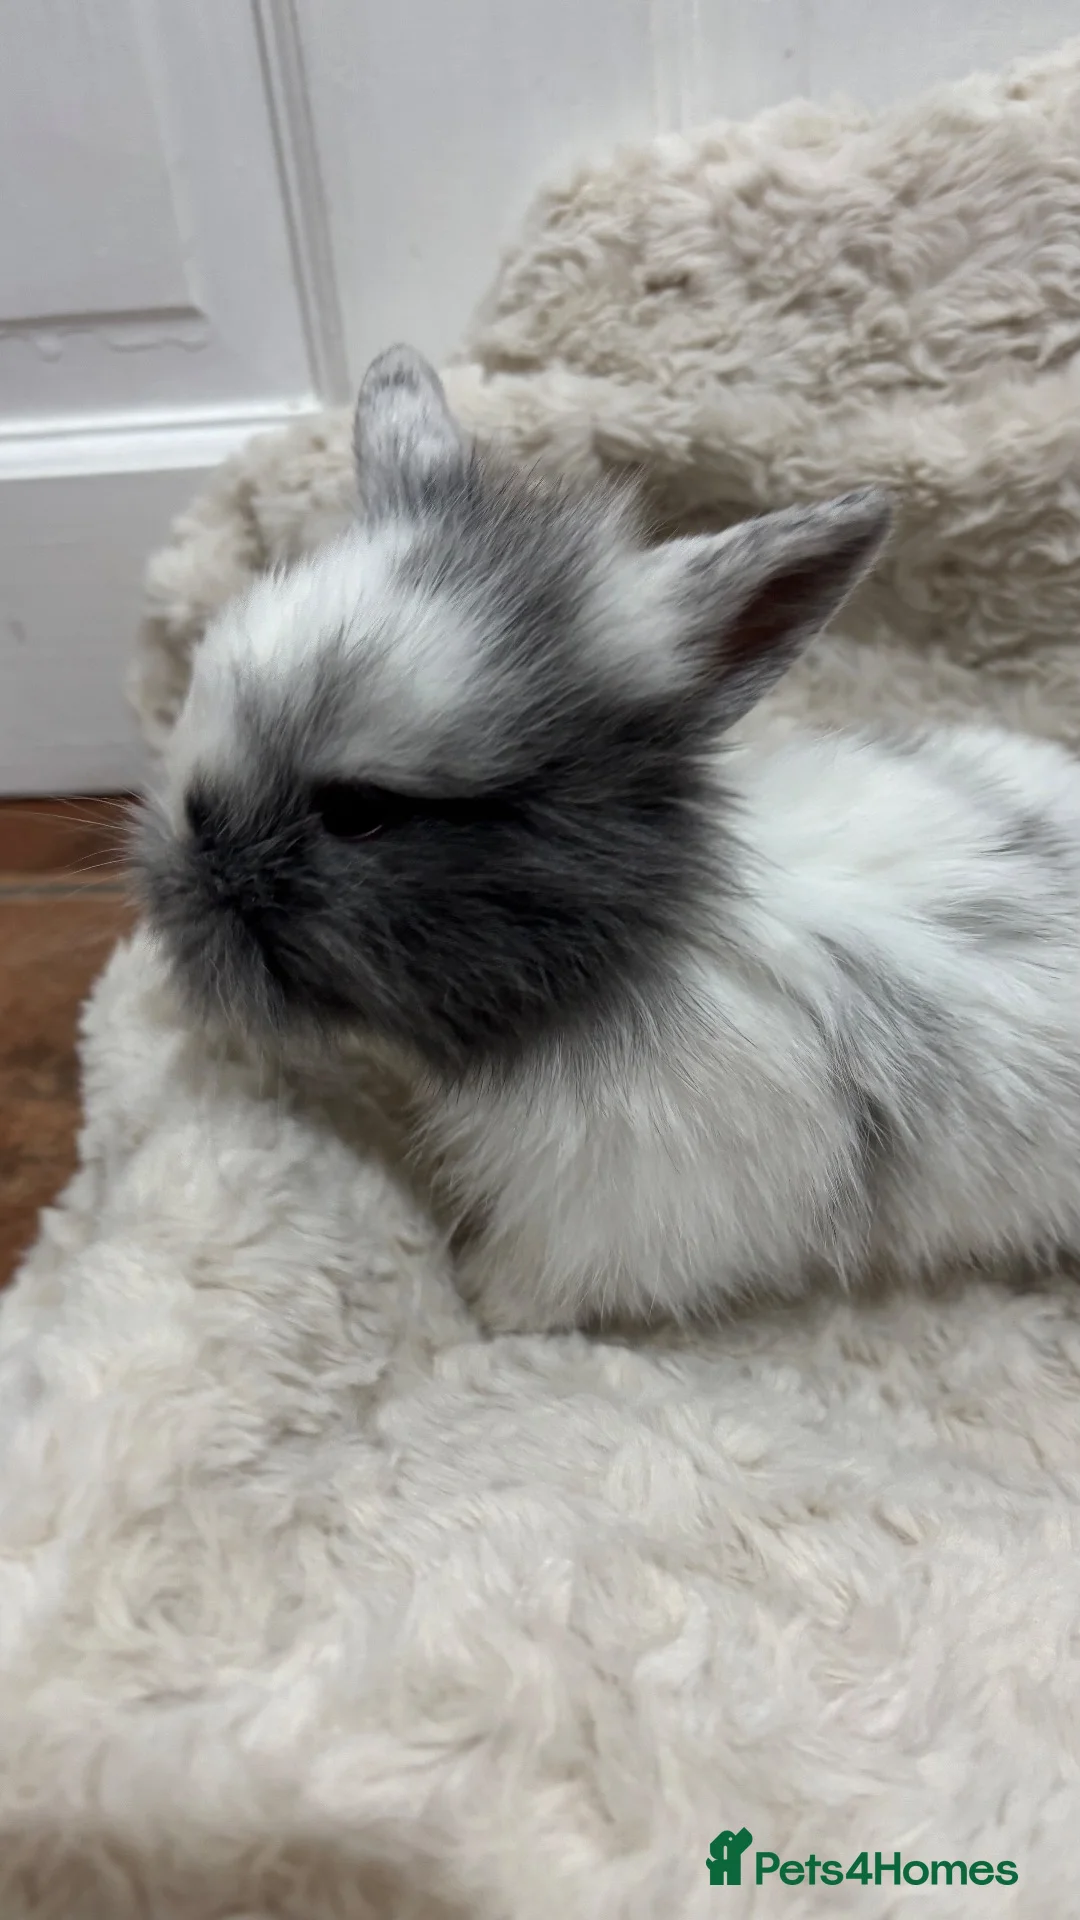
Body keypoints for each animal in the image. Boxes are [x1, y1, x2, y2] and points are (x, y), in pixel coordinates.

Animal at [138, 344, 1080, 1334]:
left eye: (361, 810)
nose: (177, 881)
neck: (627, 944)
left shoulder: (620, 1212)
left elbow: (540, 1280)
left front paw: (478, 1303)